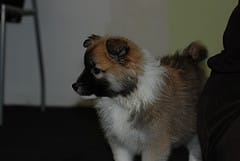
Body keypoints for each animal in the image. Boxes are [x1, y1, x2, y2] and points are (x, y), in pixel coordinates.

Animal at [72, 35, 207, 161]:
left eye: (96, 70)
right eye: (85, 67)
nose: (74, 86)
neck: (125, 97)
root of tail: (190, 58)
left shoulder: (154, 144)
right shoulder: (120, 144)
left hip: (193, 131)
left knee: (195, 149)